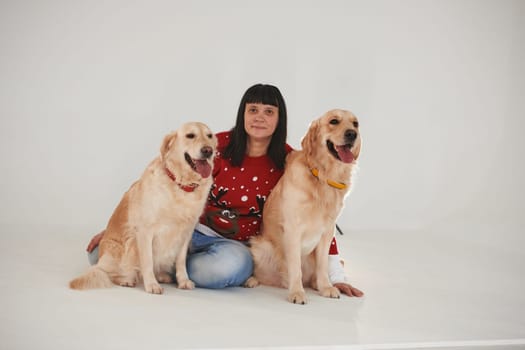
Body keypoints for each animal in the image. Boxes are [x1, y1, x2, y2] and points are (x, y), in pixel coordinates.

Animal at [69, 121, 217, 294]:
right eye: (190, 135)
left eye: (209, 136)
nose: (208, 150)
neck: (180, 185)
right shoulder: (145, 230)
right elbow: (147, 261)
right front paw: (151, 284)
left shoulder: (186, 231)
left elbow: (181, 261)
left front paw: (183, 281)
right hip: (124, 246)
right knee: (109, 273)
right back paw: (126, 279)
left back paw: (162, 276)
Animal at [246, 109, 360, 304]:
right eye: (334, 121)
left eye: (355, 124)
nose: (352, 134)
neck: (322, 177)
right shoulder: (293, 228)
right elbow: (295, 267)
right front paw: (297, 292)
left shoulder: (328, 231)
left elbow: (323, 265)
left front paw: (326, 287)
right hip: (261, 246)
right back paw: (251, 280)